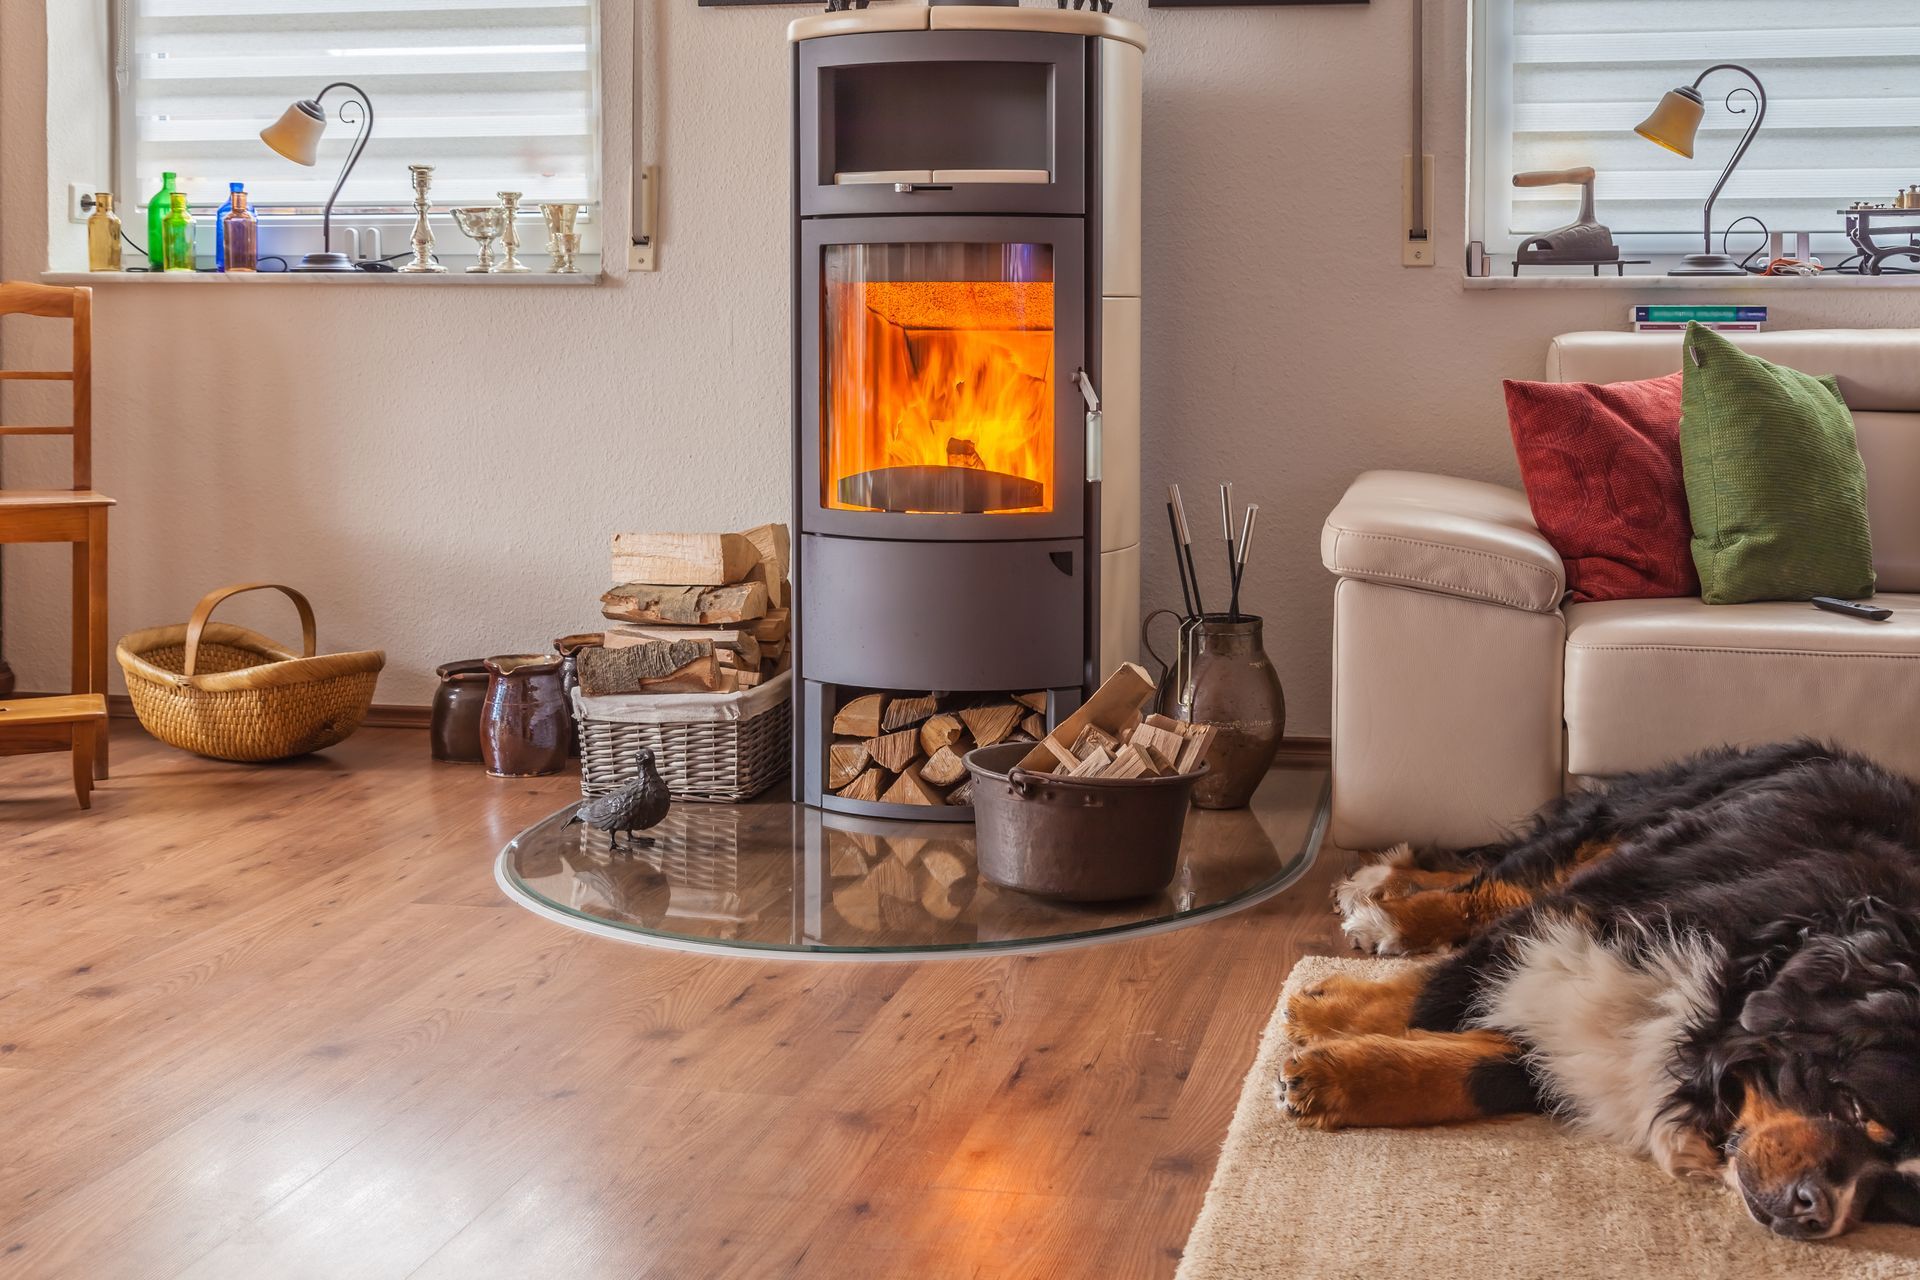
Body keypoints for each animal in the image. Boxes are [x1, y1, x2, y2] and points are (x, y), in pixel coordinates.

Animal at [1274, 740, 1920, 1243]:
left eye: (1895, 1191)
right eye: (1856, 1108)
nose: (1818, 1214)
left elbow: (1482, 1076)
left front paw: (1337, 1080)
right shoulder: (1600, 905)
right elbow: (1448, 984)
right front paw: (1327, 1012)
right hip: (1630, 825)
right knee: (1495, 885)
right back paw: (1382, 896)